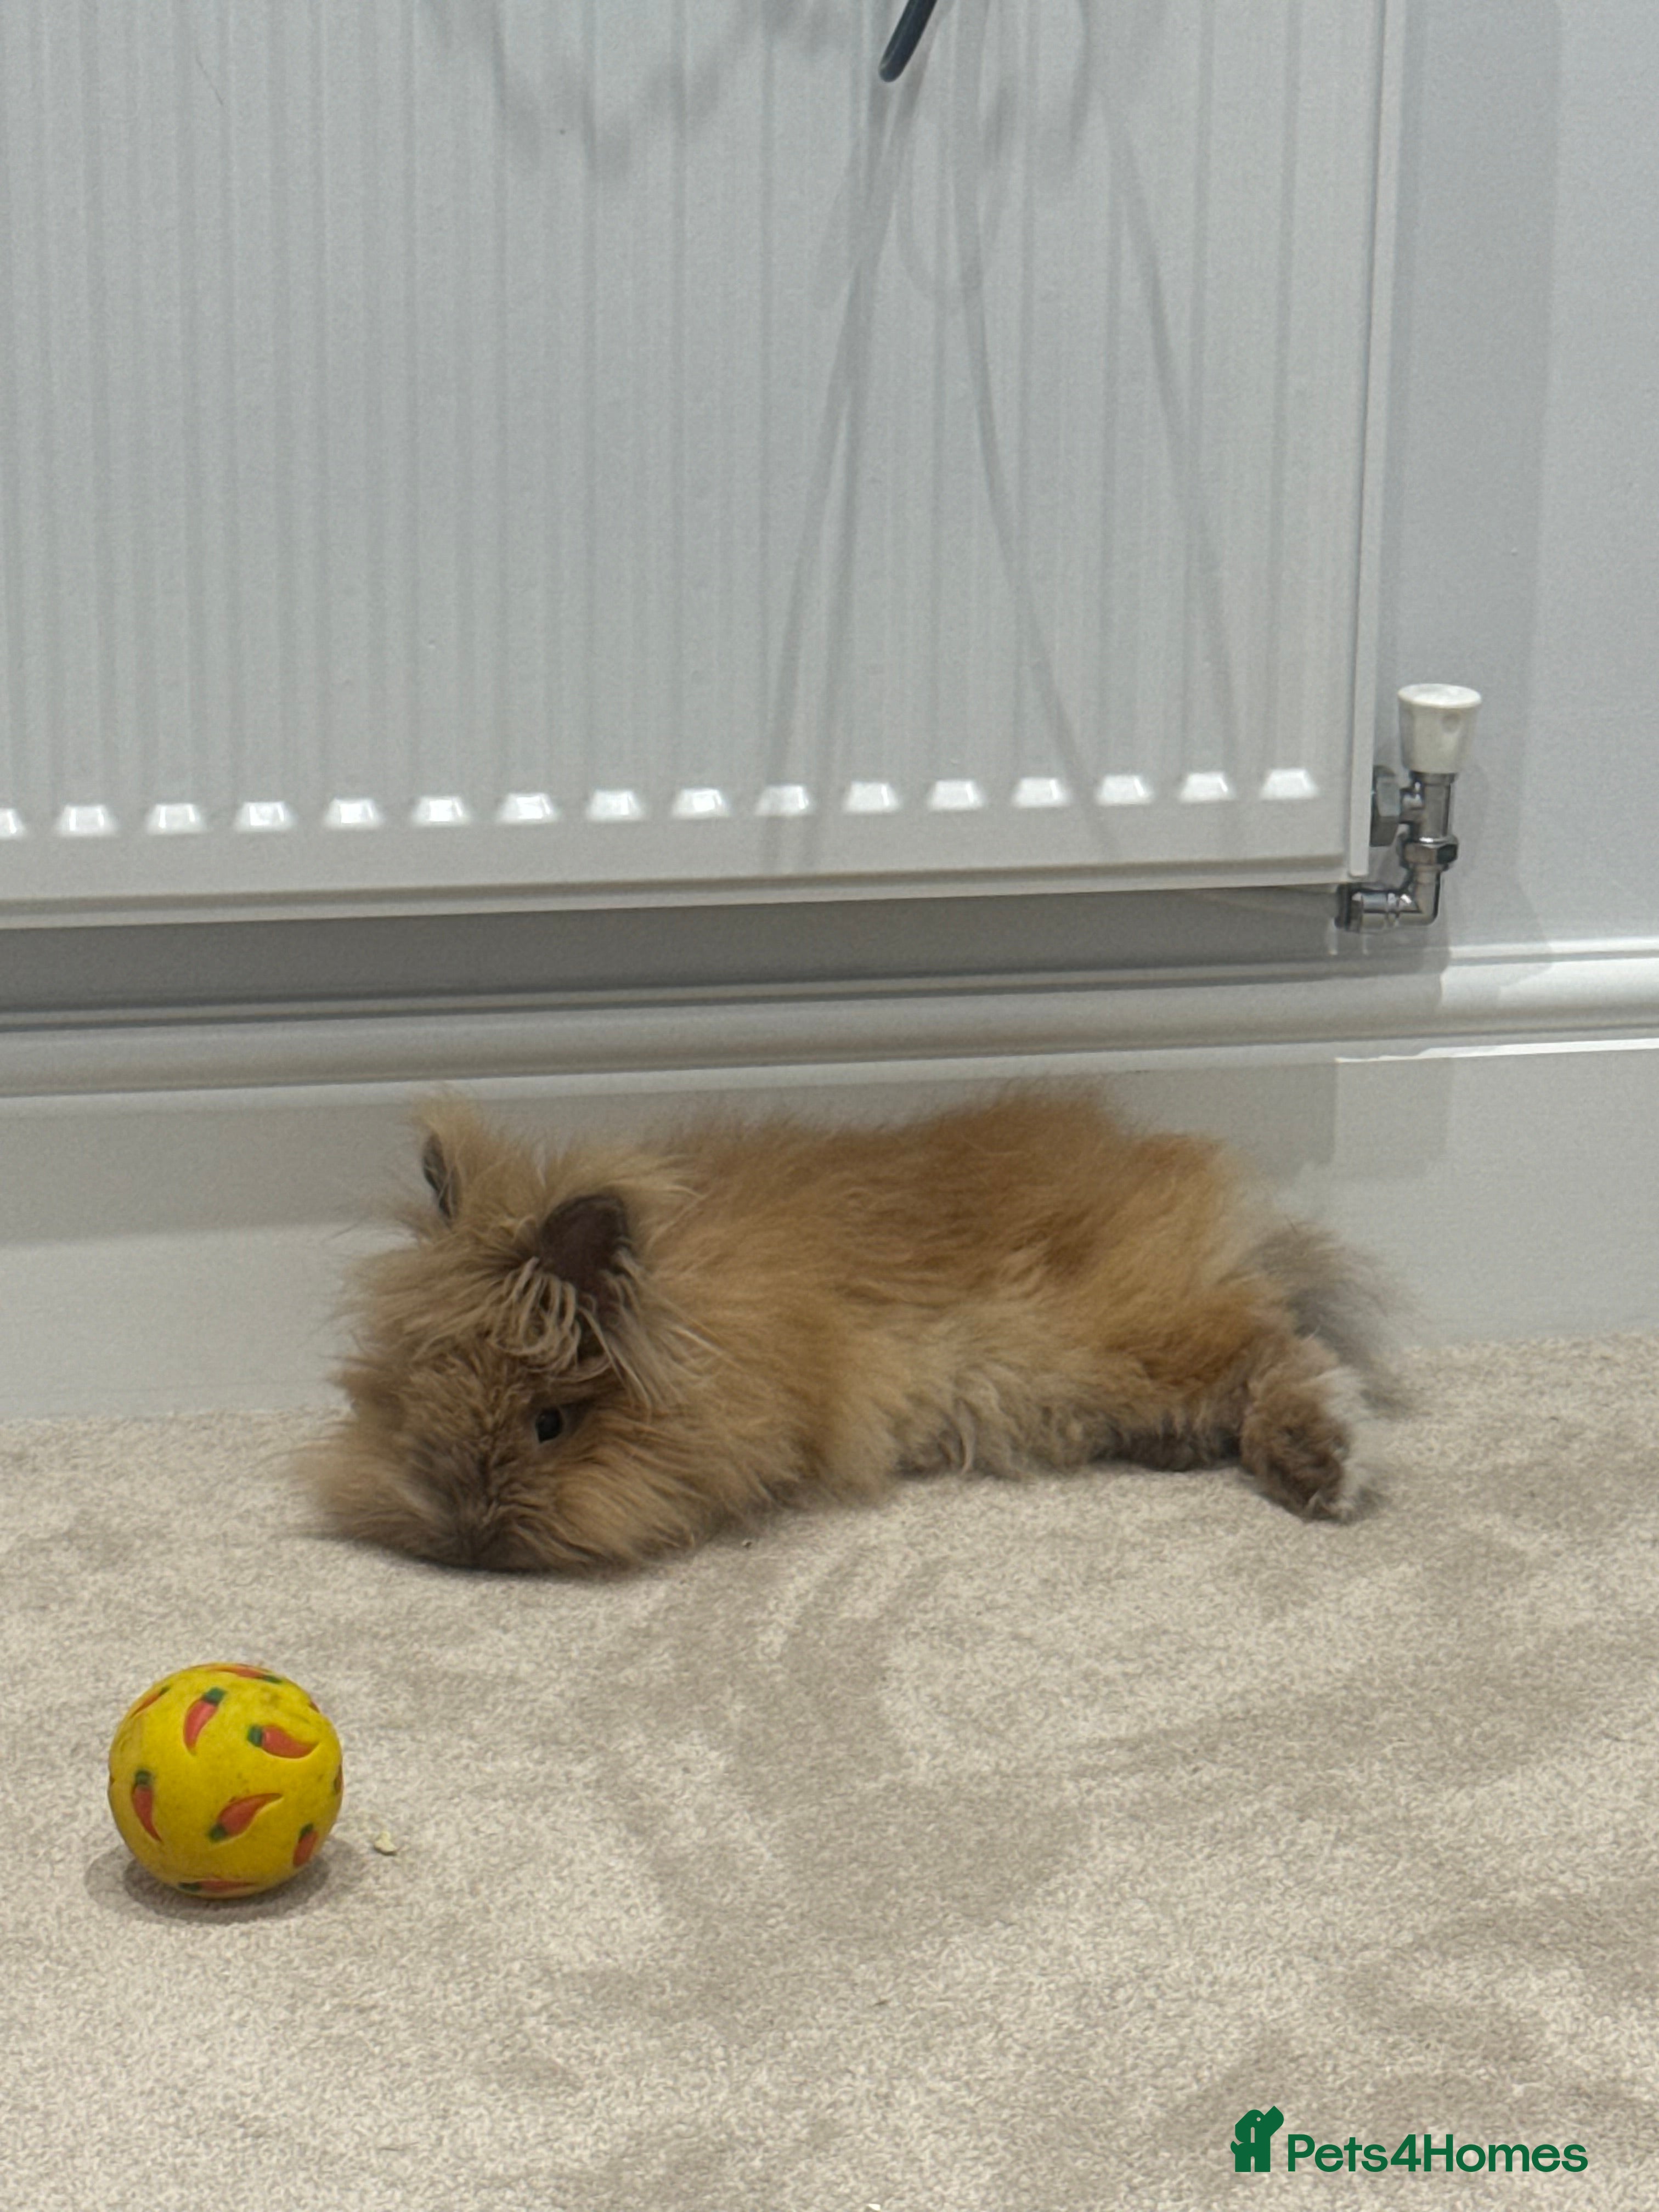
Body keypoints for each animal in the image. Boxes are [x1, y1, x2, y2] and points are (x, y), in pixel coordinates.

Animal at [300, 1087, 1402, 1573]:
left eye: (549, 1426)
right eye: (400, 1399)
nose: (468, 1536)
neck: (709, 1322)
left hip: (1136, 1339)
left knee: (1281, 1352)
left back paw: (1319, 1469)